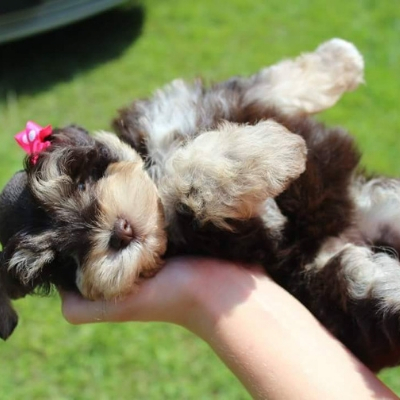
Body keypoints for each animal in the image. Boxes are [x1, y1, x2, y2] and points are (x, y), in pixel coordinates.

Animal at [3, 38, 400, 372]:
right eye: (63, 262)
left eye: (82, 183)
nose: (119, 232)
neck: (150, 163)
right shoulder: (233, 233)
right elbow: (188, 175)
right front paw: (271, 154)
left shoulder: (195, 102)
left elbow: (271, 82)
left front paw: (339, 61)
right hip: (346, 284)